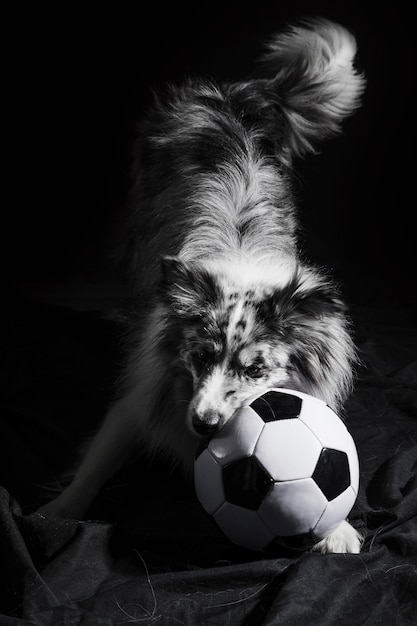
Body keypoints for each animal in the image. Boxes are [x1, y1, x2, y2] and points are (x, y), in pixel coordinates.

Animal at [38, 17, 364, 552]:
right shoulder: (144, 385)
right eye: (200, 355)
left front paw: (337, 528)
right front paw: (57, 513)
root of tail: (237, 90)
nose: (203, 424)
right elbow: (100, 457)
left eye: (256, 371)